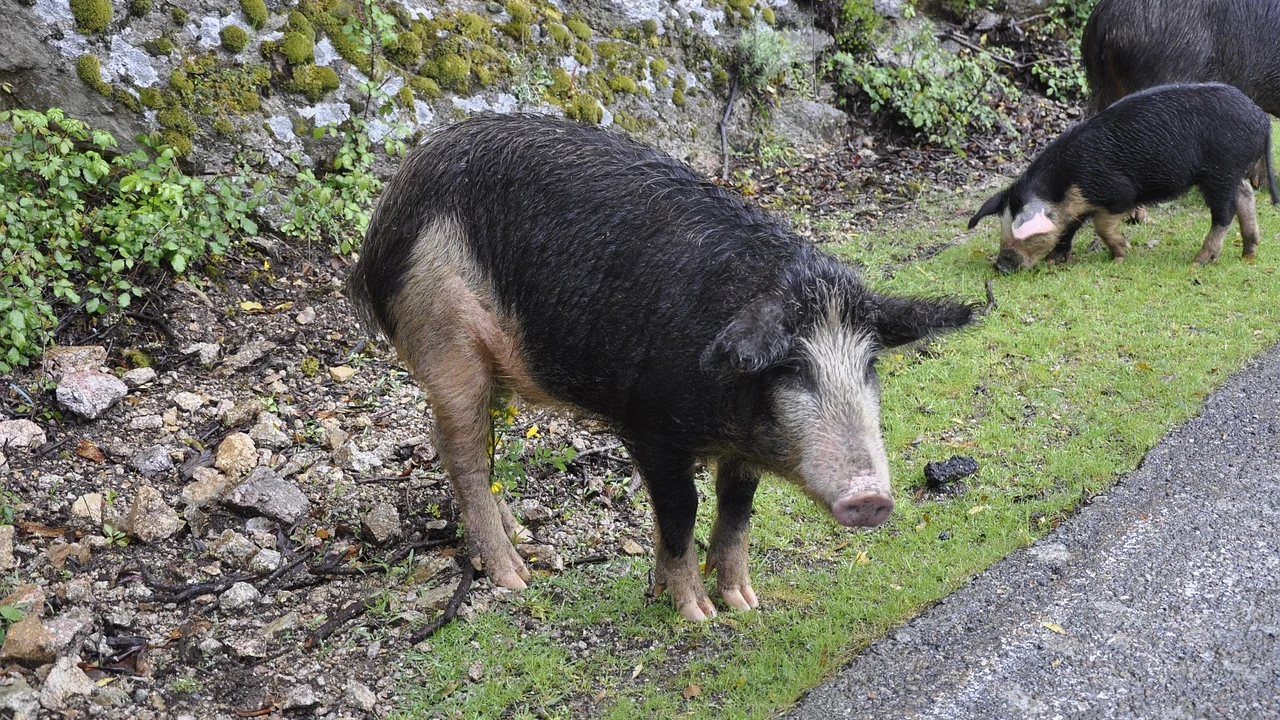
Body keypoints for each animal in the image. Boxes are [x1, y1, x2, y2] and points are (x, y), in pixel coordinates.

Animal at [345, 114, 972, 620]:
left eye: (869, 363)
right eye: (792, 367)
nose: (871, 497)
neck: (730, 413)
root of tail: (385, 218)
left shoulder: (739, 450)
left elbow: (738, 507)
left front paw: (744, 603)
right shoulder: (648, 425)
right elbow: (682, 507)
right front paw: (696, 612)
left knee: (471, 443)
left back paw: (520, 535)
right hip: (444, 337)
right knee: (462, 450)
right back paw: (516, 578)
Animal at [967, 81, 1269, 271]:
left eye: (1025, 234)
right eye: (1003, 226)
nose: (1000, 266)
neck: (1068, 183)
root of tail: (1260, 117)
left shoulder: (1120, 193)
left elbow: (1101, 225)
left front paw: (1122, 255)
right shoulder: (1078, 205)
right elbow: (1070, 227)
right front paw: (1055, 260)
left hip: (1221, 170)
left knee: (1224, 212)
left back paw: (1199, 261)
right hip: (1230, 172)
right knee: (1245, 193)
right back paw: (1248, 252)